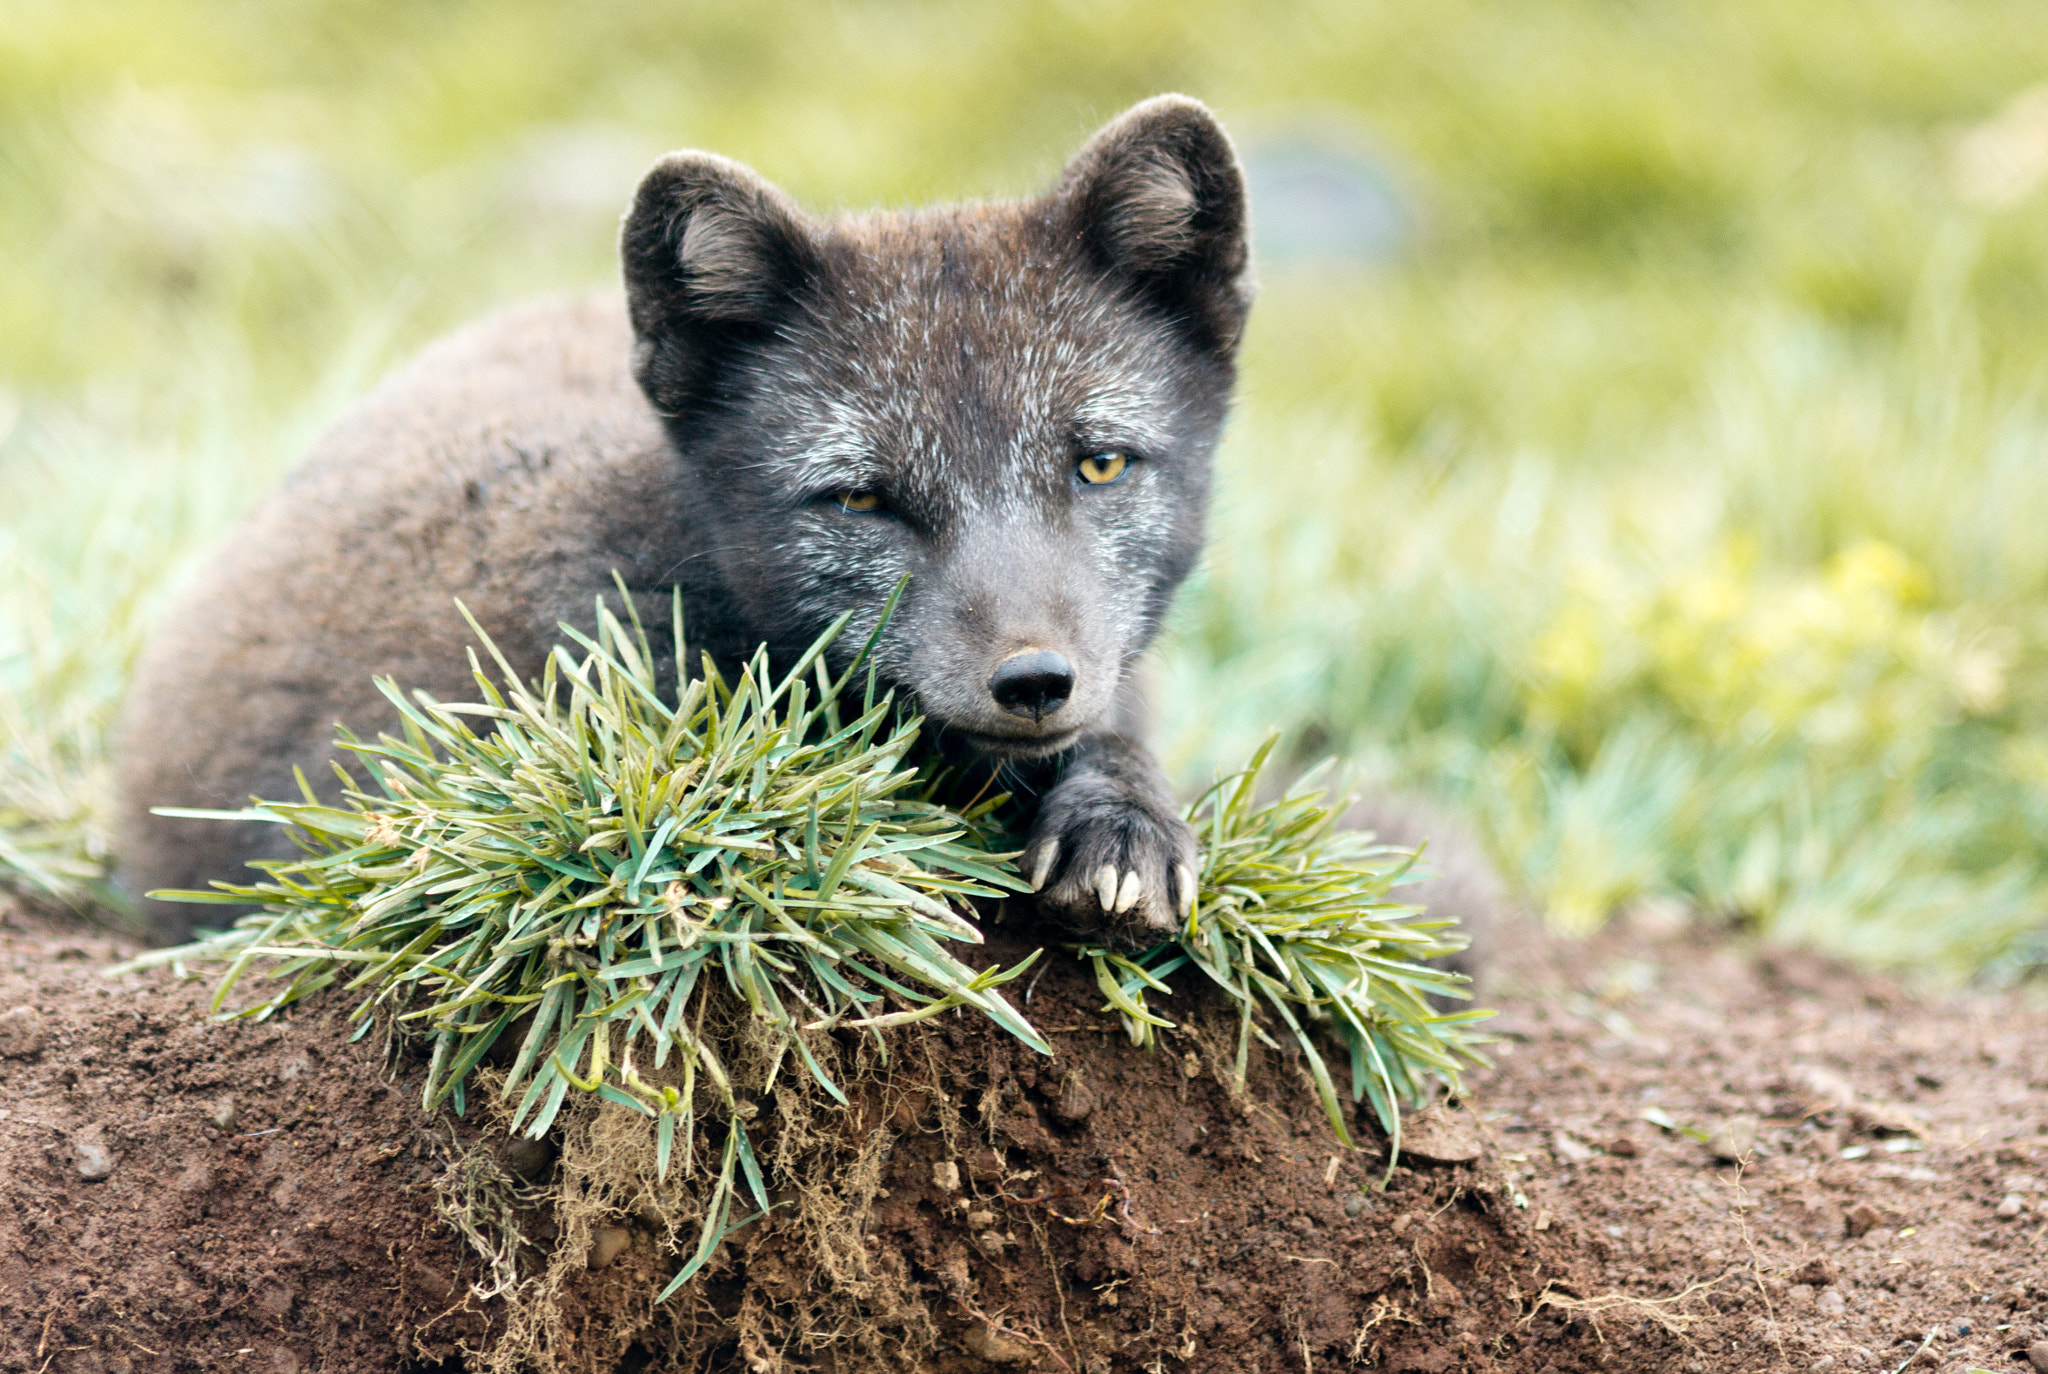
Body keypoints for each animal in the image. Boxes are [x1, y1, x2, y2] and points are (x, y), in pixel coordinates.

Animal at [117, 94, 1505, 966]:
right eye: (860, 498)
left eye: (1099, 463)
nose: (1033, 680)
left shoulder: (1117, 688)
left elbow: (1123, 749)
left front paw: (1120, 826)